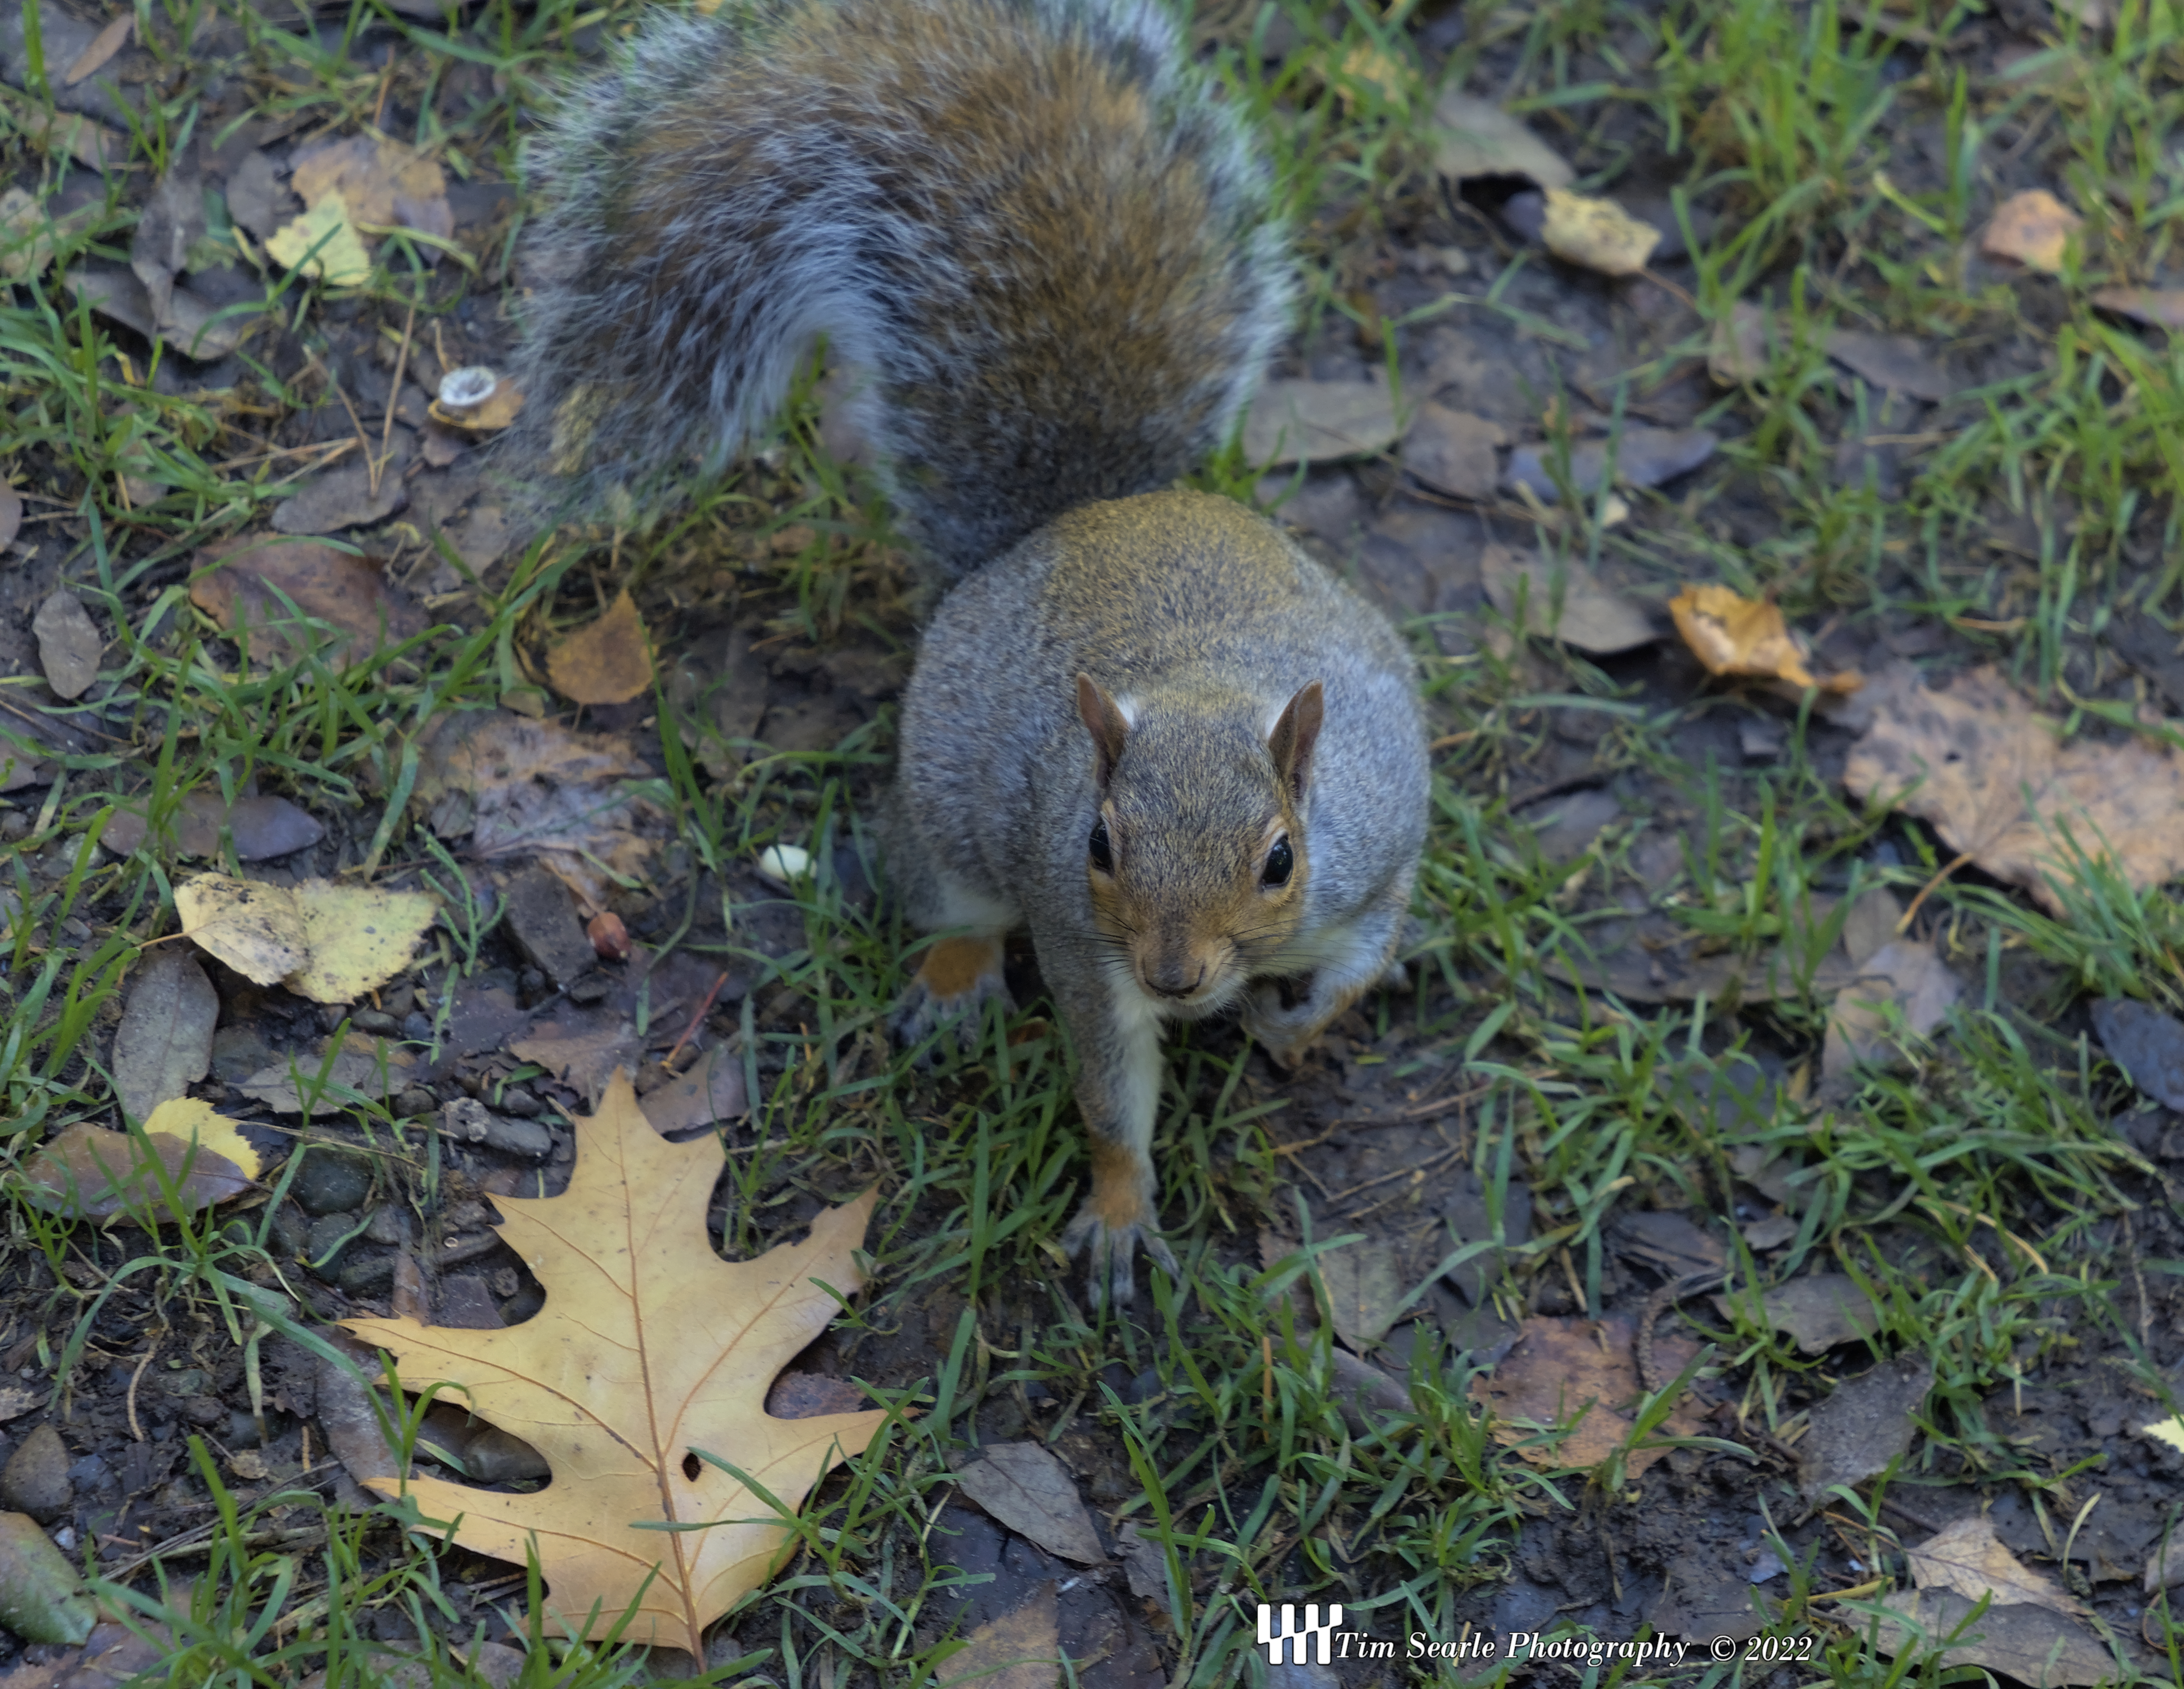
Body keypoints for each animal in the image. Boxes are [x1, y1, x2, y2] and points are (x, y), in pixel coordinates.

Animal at [514, 0, 1432, 1303]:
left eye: (1279, 860)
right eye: (1097, 843)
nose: (1175, 978)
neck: (1204, 688)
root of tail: (1080, 515)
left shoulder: (1379, 844)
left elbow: (1359, 957)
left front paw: (1300, 1021)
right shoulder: (1079, 936)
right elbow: (1107, 1091)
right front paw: (1119, 1212)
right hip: (948, 805)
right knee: (946, 895)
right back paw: (953, 981)